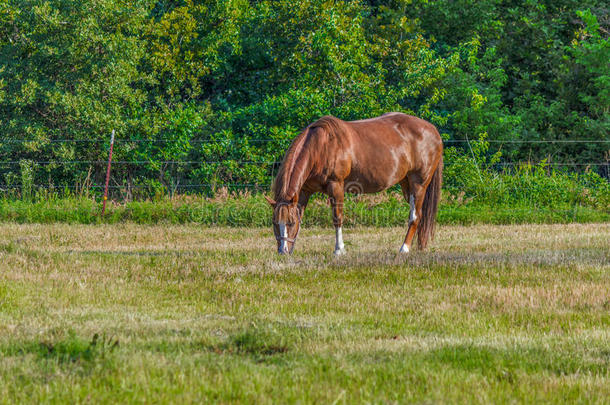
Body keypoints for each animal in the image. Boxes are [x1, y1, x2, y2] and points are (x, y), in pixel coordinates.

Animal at [266, 112, 442, 254]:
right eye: (275, 223)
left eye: (290, 223)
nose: (283, 251)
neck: (321, 146)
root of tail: (433, 130)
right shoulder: (304, 191)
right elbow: (300, 214)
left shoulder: (336, 186)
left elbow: (337, 218)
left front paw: (339, 250)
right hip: (407, 185)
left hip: (419, 185)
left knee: (415, 216)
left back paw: (404, 248)